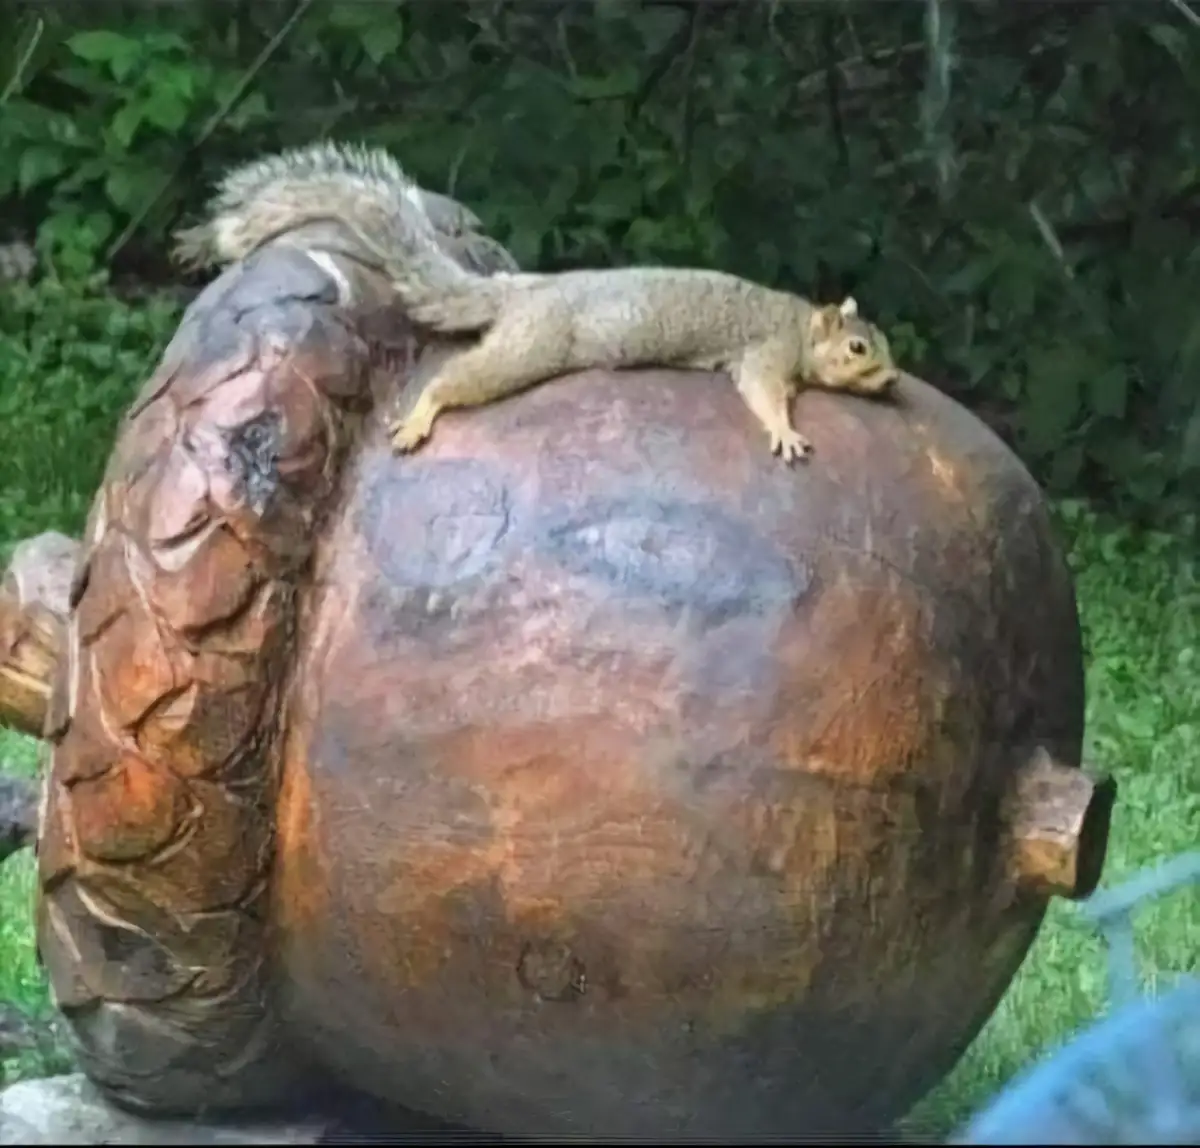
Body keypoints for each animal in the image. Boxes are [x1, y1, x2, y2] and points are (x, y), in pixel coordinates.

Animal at [174, 141, 898, 463]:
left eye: (885, 344)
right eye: (858, 347)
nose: (892, 381)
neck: (798, 323)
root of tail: (524, 292)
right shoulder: (765, 354)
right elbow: (763, 394)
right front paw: (784, 431)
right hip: (531, 348)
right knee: (456, 379)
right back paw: (420, 416)